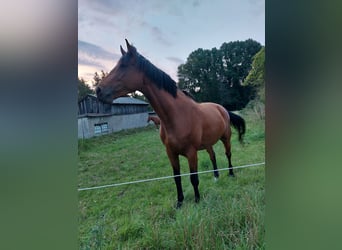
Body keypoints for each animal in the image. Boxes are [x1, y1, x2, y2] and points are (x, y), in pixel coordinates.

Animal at [96, 39, 246, 207]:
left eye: (123, 66)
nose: (98, 90)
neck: (176, 115)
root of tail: (222, 109)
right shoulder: (171, 153)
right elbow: (177, 177)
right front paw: (179, 202)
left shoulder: (191, 152)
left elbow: (194, 177)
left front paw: (197, 199)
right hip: (208, 143)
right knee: (213, 156)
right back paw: (216, 176)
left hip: (226, 138)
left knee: (228, 154)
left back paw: (231, 173)